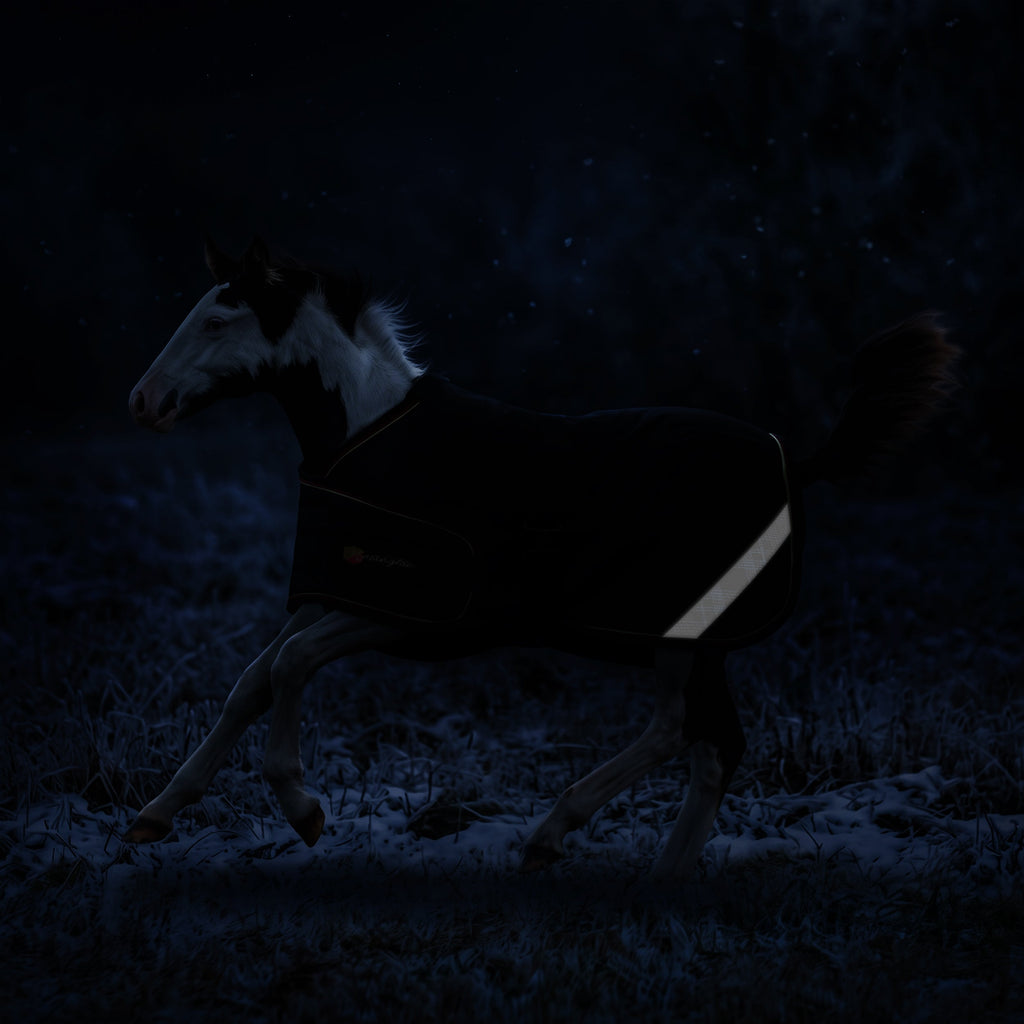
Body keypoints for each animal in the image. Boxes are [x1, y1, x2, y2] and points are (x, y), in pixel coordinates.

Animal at [125, 236, 959, 883]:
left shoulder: (412, 612)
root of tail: (800, 463)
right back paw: (660, 879)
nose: (143, 402)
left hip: (680, 635)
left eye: (219, 319)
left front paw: (303, 809)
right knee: (715, 746)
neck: (368, 436)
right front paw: (156, 815)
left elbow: (290, 665)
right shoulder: (338, 593)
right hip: (699, 645)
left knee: (677, 729)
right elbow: (253, 680)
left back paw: (552, 835)